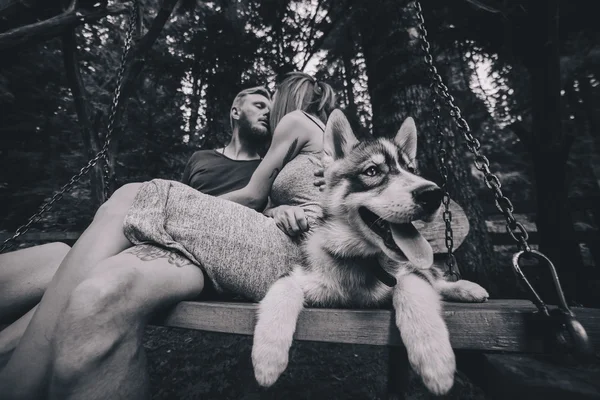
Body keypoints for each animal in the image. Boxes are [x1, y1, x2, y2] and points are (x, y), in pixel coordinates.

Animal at [251, 108, 490, 394]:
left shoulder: (405, 273)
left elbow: (414, 287)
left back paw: (466, 289)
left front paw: (434, 358)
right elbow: (282, 288)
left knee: (436, 278)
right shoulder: (302, 275)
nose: (433, 194)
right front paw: (267, 357)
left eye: (411, 169)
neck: (360, 260)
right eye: (372, 171)